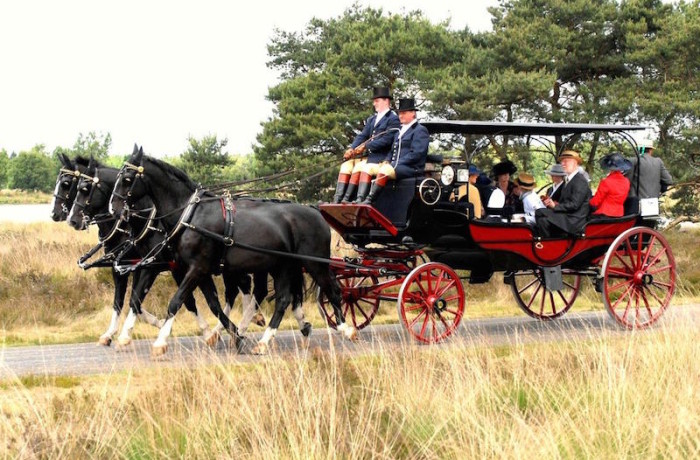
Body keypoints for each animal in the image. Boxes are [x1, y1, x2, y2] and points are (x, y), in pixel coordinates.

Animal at [110, 147, 356, 356]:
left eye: (127, 179)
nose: (114, 208)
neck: (190, 216)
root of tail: (315, 210)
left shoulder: (197, 268)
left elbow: (177, 301)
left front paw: (160, 342)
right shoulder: (193, 269)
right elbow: (211, 304)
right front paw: (233, 335)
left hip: (315, 263)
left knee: (333, 291)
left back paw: (346, 329)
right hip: (284, 266)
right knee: (284, 299)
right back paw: (270, 339)